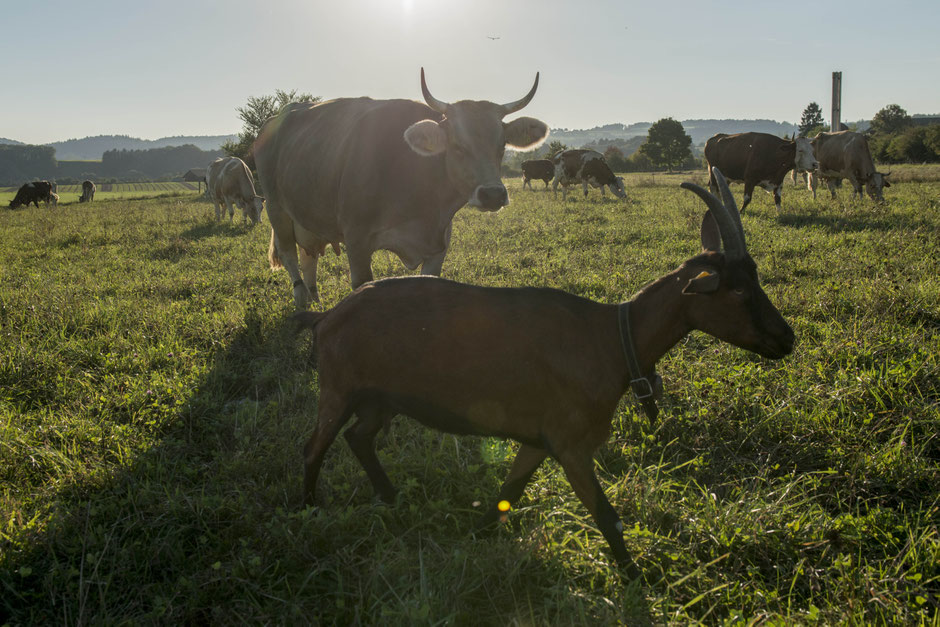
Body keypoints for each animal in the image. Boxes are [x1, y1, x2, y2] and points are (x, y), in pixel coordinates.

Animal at [254, 68, 548, 309]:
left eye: (502, 144)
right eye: (457, 145)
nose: (493, 194)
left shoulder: (438, 247)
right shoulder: (357, 244)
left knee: (308, 259)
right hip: (277, 210)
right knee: (290, 257)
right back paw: (302, 302)